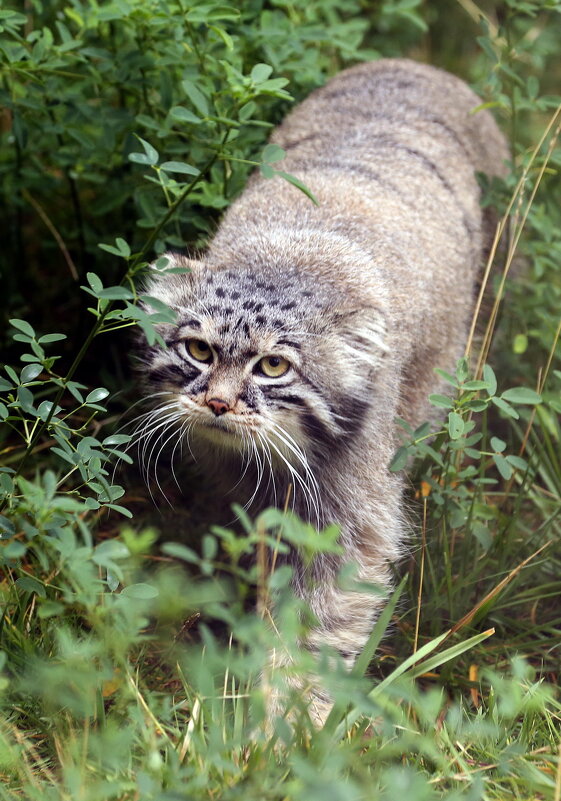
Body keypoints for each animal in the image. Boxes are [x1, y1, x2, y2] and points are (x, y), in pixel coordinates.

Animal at [137, 59, 508, 720]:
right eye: (198, 351)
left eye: (274, 367)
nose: (218, 403)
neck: (289, 258)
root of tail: (414, 63)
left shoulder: (348, 515)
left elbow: (315, 625)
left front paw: (288, 726)